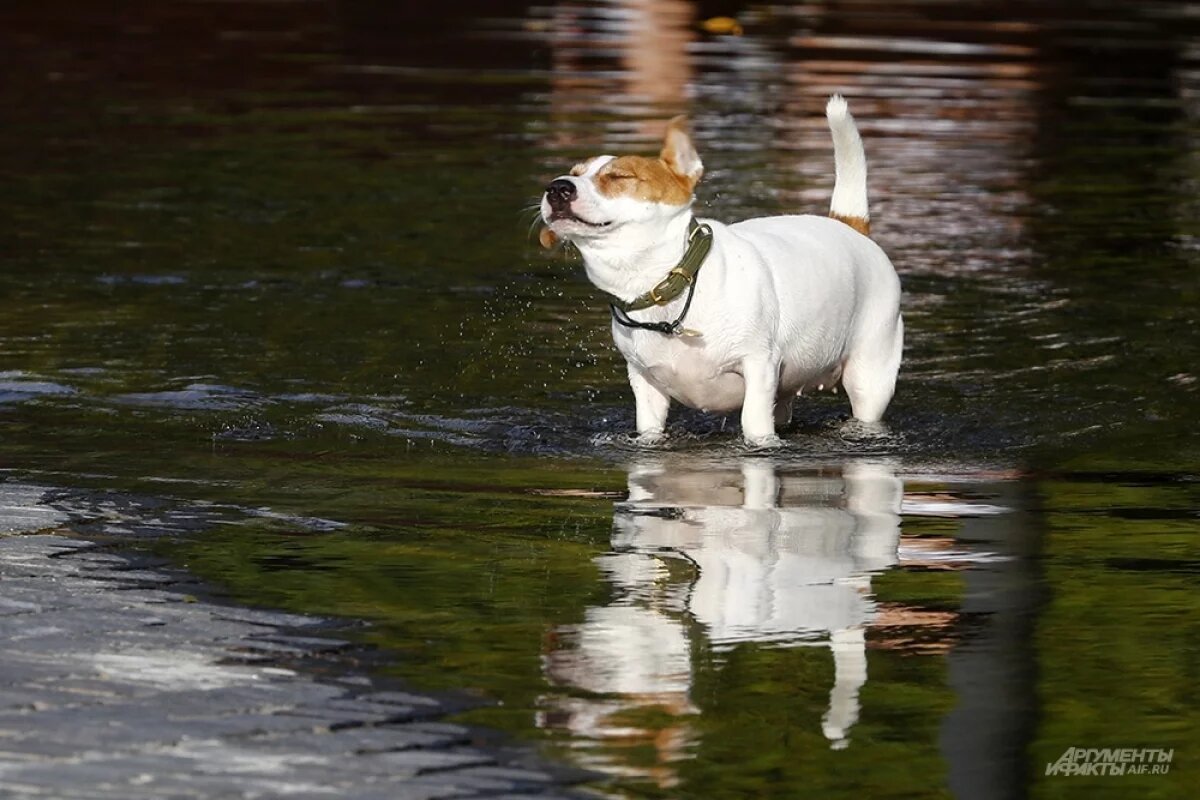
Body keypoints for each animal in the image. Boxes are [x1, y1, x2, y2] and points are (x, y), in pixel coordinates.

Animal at [542, 97, 902, 448]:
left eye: (619, 177)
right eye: (574, 172)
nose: (557, 187)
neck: (671, 286)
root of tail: (848, 225)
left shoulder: (759, 367)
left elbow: (754, 425)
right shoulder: (645, 384)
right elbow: (649, 430)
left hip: (870, 376)